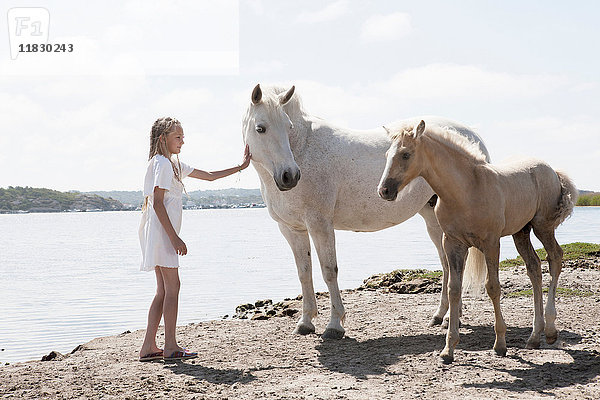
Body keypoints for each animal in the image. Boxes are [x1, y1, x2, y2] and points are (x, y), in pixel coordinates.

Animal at [241, 83, 490, 338]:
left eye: (288, 126)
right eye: (261, 128)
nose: (290, 176)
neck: (304, 148)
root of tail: (472, 137)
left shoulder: (320, 225)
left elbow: (329, 270)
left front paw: (334, 325)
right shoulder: (292, 229)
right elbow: (304, 272)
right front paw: (305, 322)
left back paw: (450, 317)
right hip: (433, 218)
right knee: (448, 263)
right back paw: (442, 315)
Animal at [378, 120, 580, 364]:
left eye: (406, 154)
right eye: (387, 154)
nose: (384, 190)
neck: (466, 191)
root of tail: (552, 169)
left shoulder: (491, 242)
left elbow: (492, 287)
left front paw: (500, 344)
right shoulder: (452, 243)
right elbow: (454, 288)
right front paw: (448, 349)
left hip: (543, 226)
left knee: (555, 259)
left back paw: (550, 331)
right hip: (521, 232)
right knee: (534, 268)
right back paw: (534, 336)